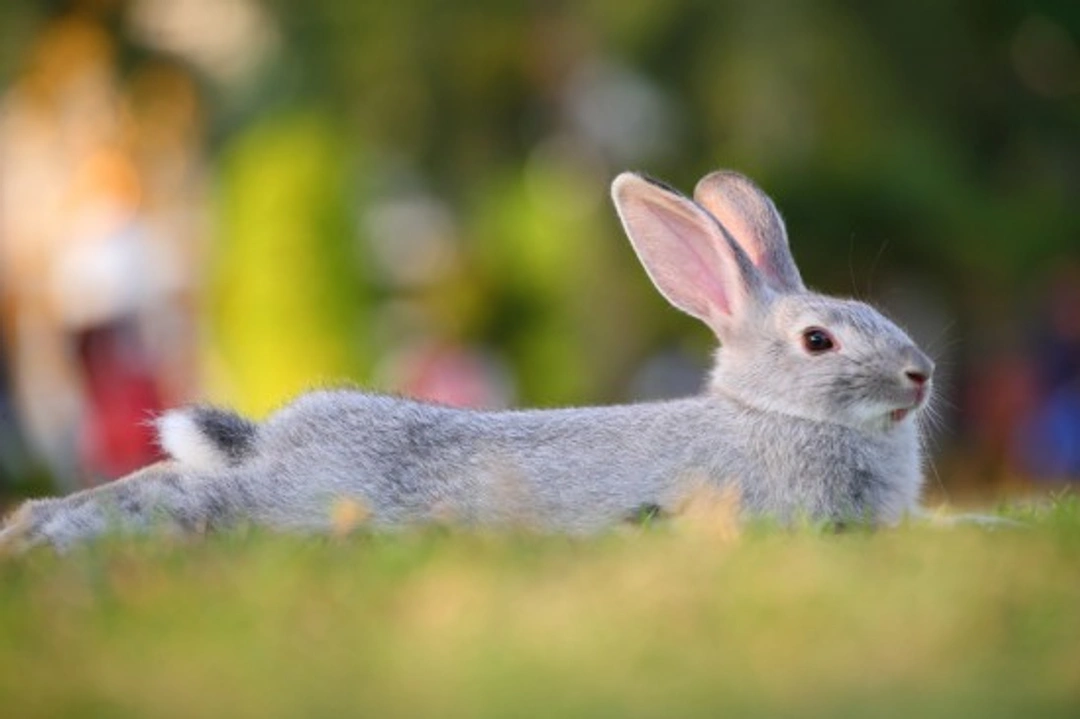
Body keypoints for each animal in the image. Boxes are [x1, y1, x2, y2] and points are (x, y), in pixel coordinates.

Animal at [0, 170, 935, 553]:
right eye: (818, 340)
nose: (921, 373)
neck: (775, 412)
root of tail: (272, 439)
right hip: (302, 499)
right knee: (187, 501)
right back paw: (43, 535)